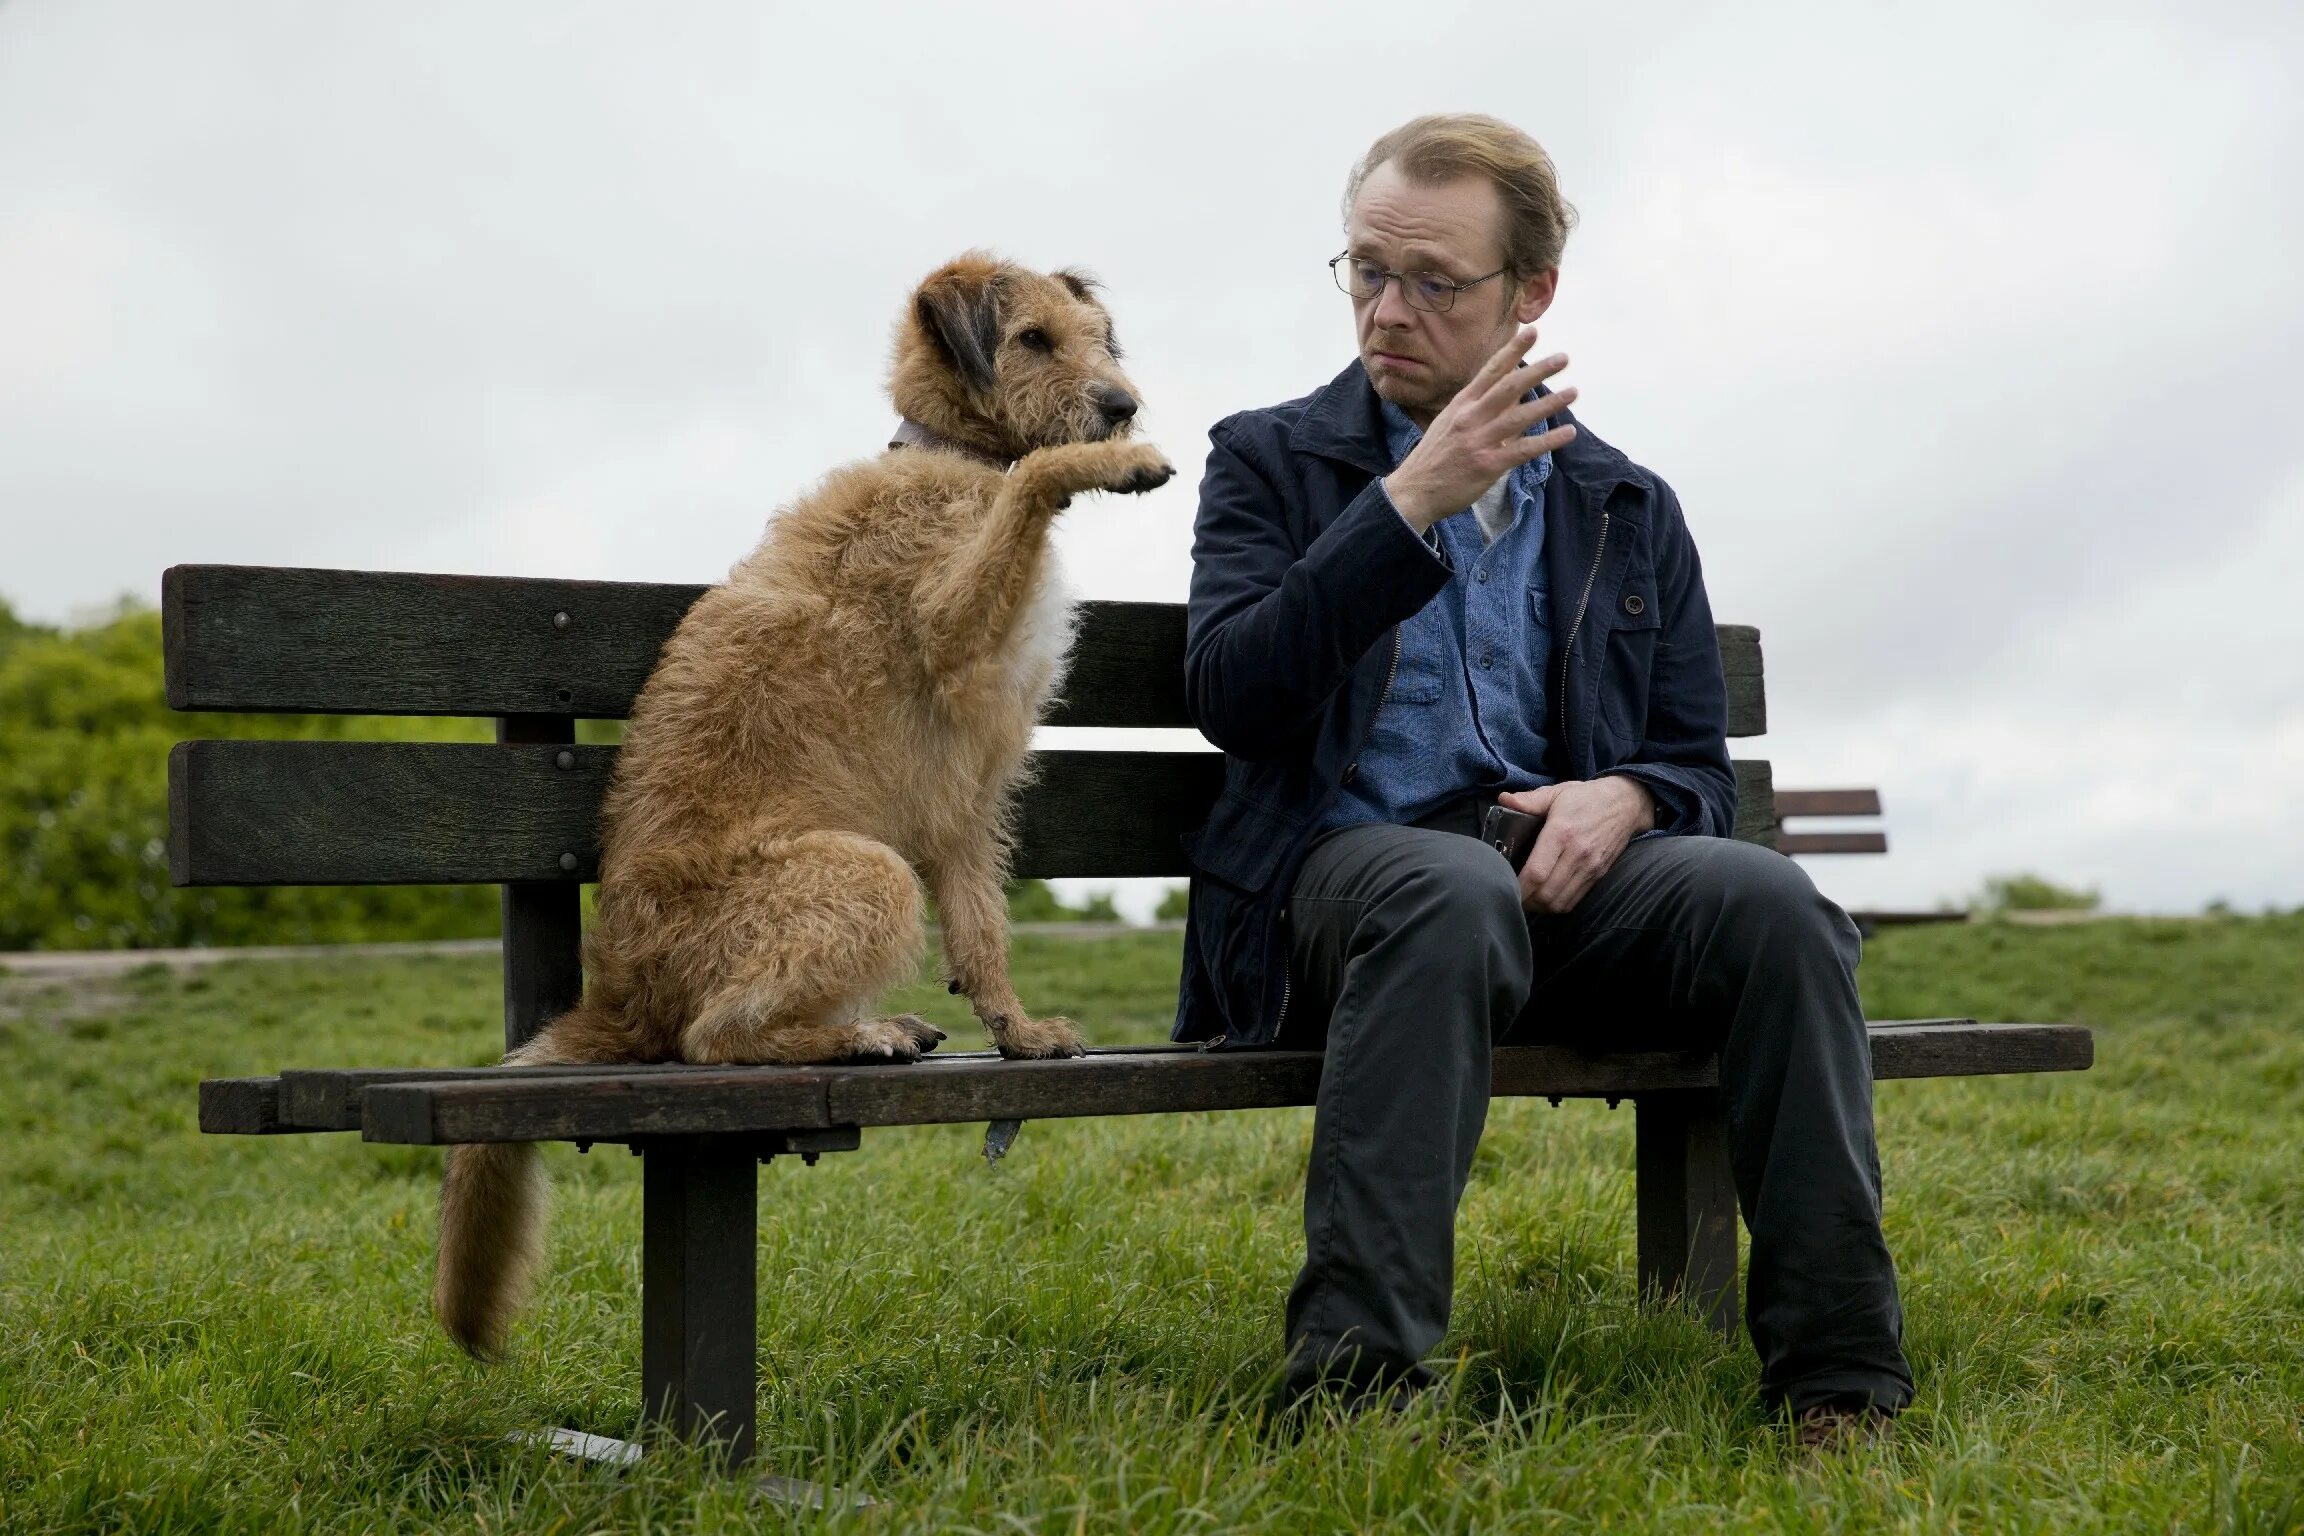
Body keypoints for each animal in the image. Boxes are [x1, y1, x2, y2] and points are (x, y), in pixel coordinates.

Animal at [433, 252, 1170, 1354]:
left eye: (1098, 339)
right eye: (1033, 340)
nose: (1121, 406)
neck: (959, 459)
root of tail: (615, 998)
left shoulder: (966, 800)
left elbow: (983, 930)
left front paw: (1018, 1034)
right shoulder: (953, 628)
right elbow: (1034, 485)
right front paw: (1107, 465)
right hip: (866, 874)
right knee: (710, 1039)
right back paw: (858, 1035)